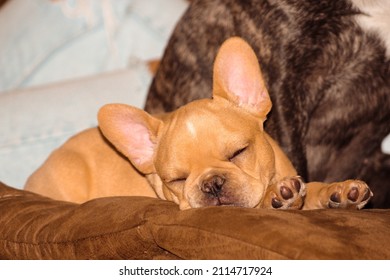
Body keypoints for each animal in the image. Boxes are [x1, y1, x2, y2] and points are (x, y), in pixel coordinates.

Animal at [24, 36, 372, 210]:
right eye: (177, 180)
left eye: (238, 153)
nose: (212, 184)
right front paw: (279, 197)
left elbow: (312, 190)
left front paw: (338, 192)